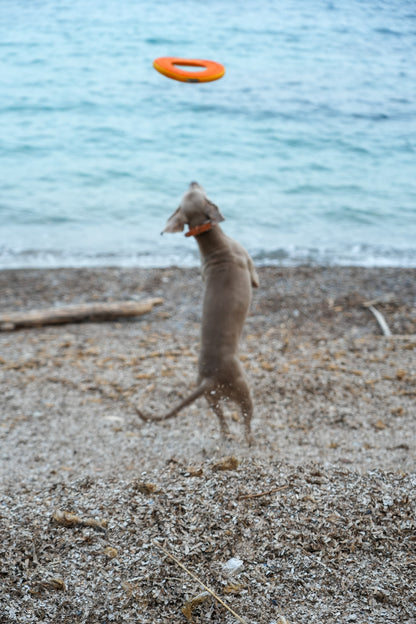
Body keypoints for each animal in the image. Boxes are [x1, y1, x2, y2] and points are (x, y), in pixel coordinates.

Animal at [136, 180, 258, 444]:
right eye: (196, 191)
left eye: (188, 192)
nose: (193, 180)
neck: (214, 244)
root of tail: (210, 379)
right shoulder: (246, 259)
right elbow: (255, 277)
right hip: (243, 390)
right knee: (246, 418)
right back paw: (250, 439)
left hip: (210, 398)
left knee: (221, 420)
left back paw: (227, 436)